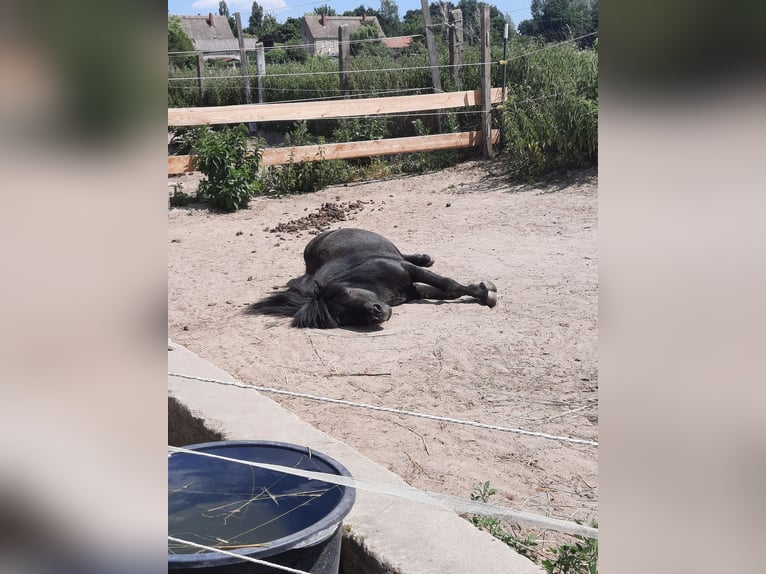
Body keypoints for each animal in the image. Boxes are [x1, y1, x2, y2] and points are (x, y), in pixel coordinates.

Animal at [248, 228, 498, 330]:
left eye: (346, 293)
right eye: (342, 318)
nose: (376, 313)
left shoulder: (407, 270)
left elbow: (448, 284)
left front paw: (486, 293)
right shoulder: (414, 290)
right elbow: (445, 292)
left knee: (406, 255)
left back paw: (425, 258)